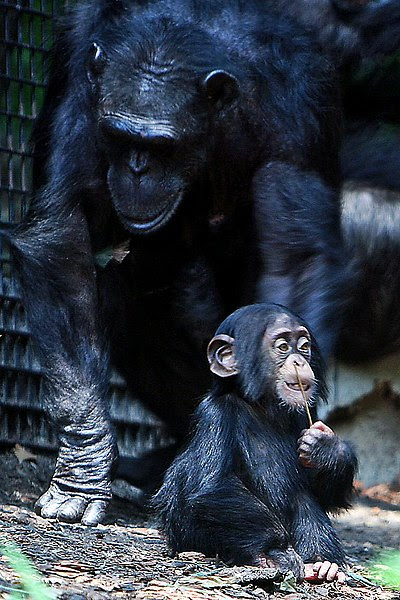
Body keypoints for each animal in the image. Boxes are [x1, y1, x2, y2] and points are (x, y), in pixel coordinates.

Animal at [6, 0, 346, 524]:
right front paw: (84, 466)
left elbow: (294, 260)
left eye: (163, 146)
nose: (137, 169)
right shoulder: (81, 74)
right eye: (118, 137)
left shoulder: (301, 104)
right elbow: (60, 230)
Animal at [155, 304, 358, 580]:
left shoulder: (305, 415)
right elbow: (213, 485)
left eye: (304, 345)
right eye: (283, 346)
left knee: (303, 498)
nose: (299, 360)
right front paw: (275, 554)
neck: (262, 407)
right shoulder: (215, 416)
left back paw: (323, 564)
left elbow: (324, 495)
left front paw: (327, 448)